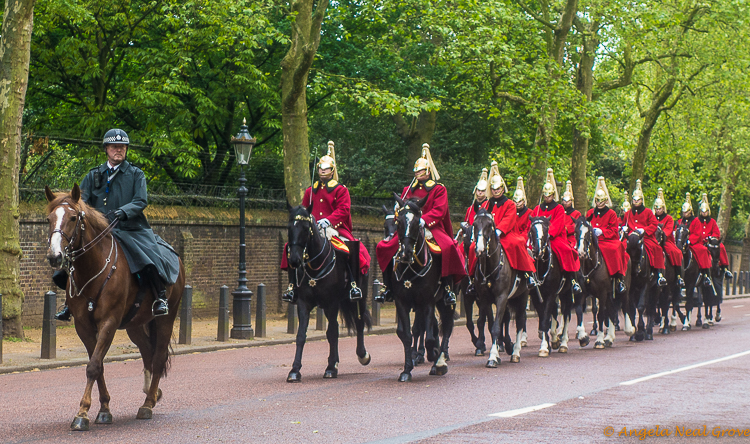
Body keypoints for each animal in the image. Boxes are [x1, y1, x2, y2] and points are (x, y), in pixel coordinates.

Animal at [44, 184, 186, 430]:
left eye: (73, 217)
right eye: (49, 218)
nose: (55, 256)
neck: (92, 268)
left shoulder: (108, 322)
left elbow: (93, 365)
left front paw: (82, 414)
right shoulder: (83, 326)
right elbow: (98, 364)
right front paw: (103, 409)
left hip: (165, 319)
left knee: (158, 357)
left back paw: (148, 404)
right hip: (135, 325)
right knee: (147, 352)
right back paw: (151, 392)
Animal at [284, 205, 374, 382]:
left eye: (306, 228)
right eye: (289, 227)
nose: (295, 260)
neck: (315, 265)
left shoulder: (332, 302)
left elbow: (332, 333)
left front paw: (331, 368)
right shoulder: (304, 303)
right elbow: (301, 335)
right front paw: (295, 370)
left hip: (358, 298)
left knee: (358, 323)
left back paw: (362, 355)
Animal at [390, 194, 456, 382]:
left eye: (416, 222)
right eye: (399, 222)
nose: (405, 254)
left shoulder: (427, 302)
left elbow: (430, 338)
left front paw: (436, 358)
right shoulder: (402, 302)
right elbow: (406, 334)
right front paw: (406, 370)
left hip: (445, 301)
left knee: (446, 327)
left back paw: (440, 359)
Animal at [472, 206, 532, 366]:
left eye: (489, 225)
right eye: (474, 225)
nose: (480, 250)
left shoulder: (501, 297)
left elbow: (496, 327)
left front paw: (493, 357)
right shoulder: (485, 299)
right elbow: (489, 323)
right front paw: (494, 351)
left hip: (522, 296)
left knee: (520, 321)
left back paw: (516, 352)